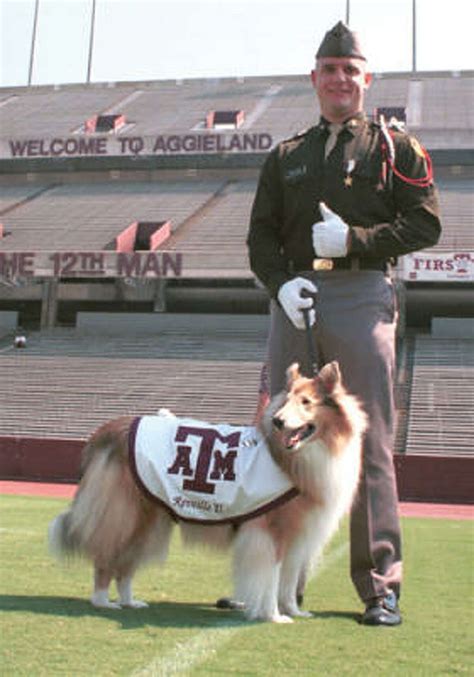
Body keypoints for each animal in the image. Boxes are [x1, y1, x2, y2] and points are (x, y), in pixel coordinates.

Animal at [48, 362, 366, 620]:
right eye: (285, 401)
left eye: (306, 402)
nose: (277, 421)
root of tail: (108, 429)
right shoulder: (272, 532)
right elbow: (272, 578)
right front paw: (273, 616)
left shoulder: (298, 536)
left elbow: (287, 582)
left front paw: (294, 611)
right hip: (125, 516)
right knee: (106, 558)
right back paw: (103, 601)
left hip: (150, 519)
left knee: (126, 564)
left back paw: (129, 601)